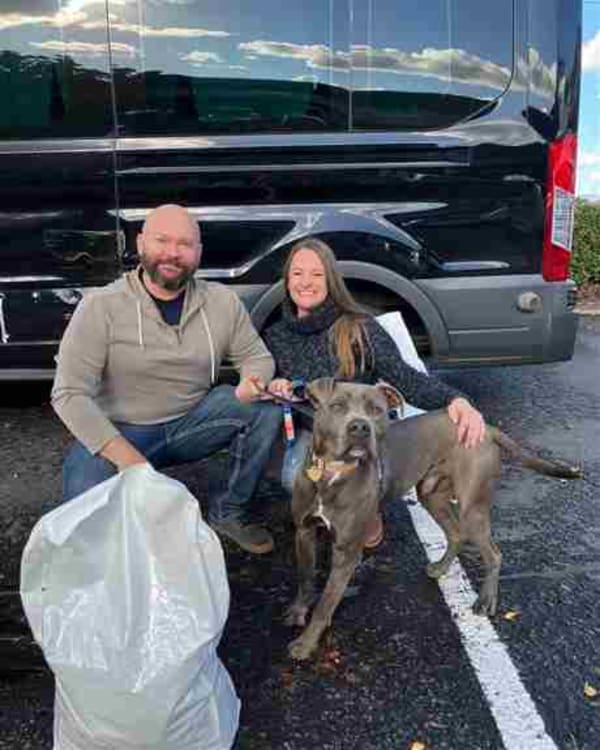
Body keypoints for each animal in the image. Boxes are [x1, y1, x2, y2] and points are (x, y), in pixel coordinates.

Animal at [285, 378, 581, 661]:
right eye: (337, 406)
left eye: (376, 410)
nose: (360, 427)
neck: (332, 472)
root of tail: (486, 427)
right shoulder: (303, 531)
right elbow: (305, 577)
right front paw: (297, 611)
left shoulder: (347, 551)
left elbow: (325, 604)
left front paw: (305, 644)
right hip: (432, 495)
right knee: (455, 534)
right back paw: (439, 568)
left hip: (472, 508)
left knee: (494, 553)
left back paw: (486, 600)